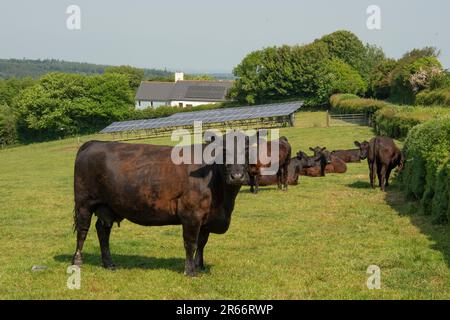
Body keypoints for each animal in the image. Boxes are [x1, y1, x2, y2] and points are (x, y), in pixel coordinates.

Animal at [72, 131, 251, 276]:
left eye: (248, 150)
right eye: (224, 150)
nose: (237, 176)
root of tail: (94, 143)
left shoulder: (207, 218)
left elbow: (202, 243)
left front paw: (200, 266)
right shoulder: (191, 214)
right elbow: (191, 243)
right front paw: (190, 271)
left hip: (108, 206)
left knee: (102, 230)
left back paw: (109, 264)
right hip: (84, 203)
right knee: (82, 231)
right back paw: (77, 261)